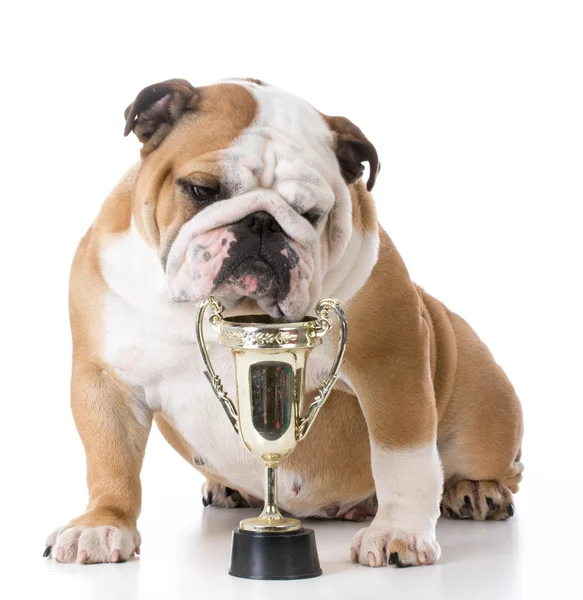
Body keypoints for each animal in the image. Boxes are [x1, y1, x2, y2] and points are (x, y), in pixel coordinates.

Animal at [45, 77, 524, 564]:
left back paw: (476, 490)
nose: (261, 222)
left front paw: (399, 531)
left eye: (312, 214)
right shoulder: (106, 379)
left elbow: (402, 459)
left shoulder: (391, 364)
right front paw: (101, 524)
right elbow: (110, 460)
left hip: (482, 405)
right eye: (201, 190)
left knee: (492, 465)